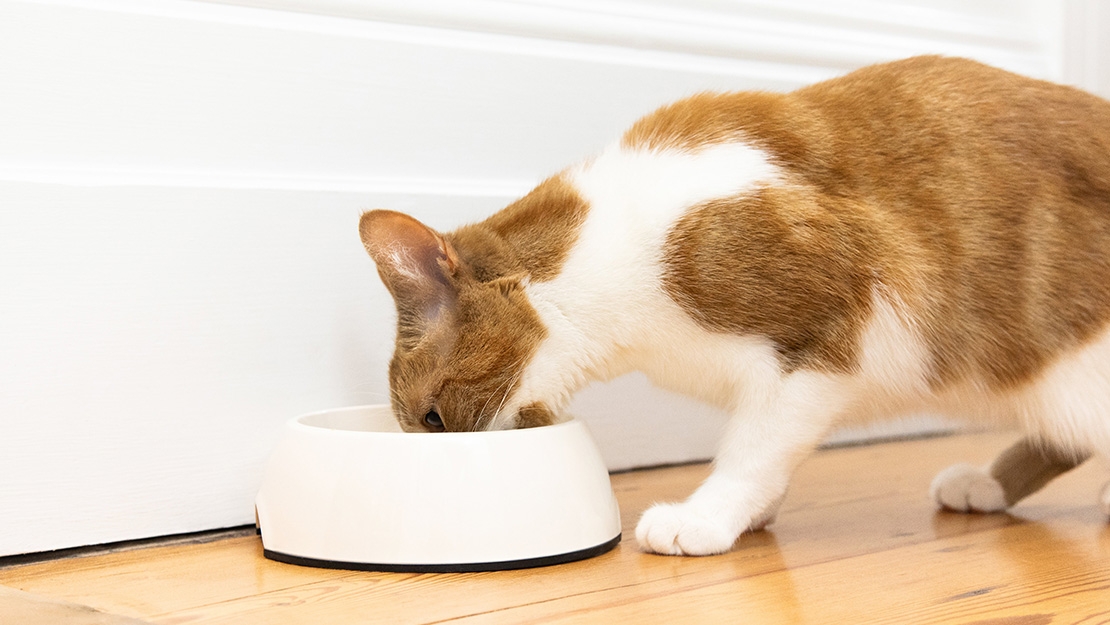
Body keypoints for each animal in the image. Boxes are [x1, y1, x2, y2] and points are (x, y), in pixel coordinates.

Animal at [357, 57, 1110, 557]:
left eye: (432, 416)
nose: (435, 455)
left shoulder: (831, 332)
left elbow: (755, 445)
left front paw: (709, 515)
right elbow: (769, 449)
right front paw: (752, 514)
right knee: (1064, 436)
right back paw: (984, 482)